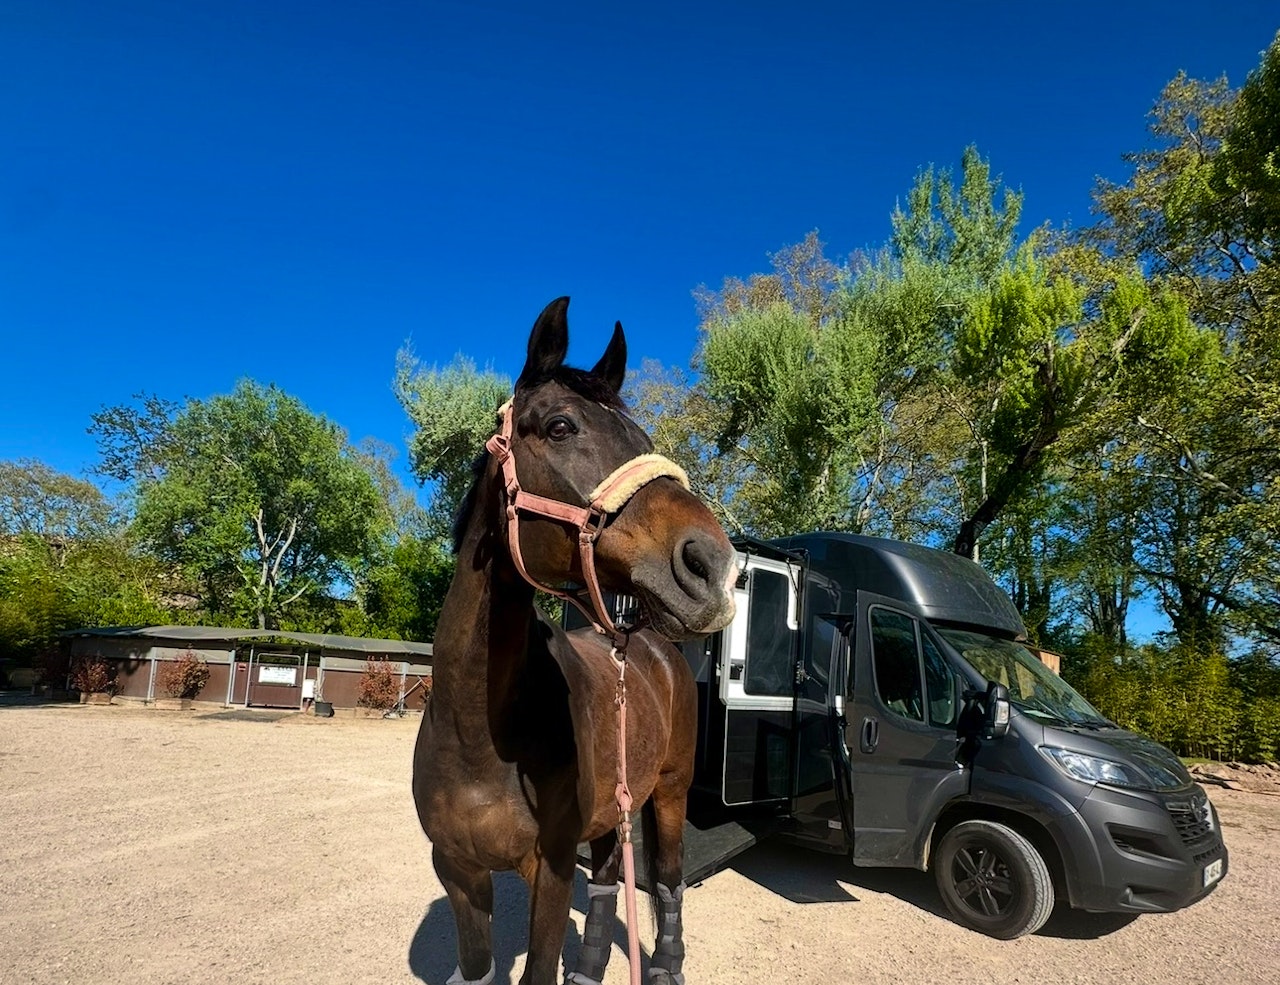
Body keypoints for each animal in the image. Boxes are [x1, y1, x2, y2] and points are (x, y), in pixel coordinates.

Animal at [412, 297, 739, 985]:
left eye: (644, 443)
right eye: (561, 427)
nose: (715, 567)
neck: (480, 737)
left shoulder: (551, 868)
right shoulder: (457, 871)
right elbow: (478, 966)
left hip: (668, 793)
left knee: (666, 879)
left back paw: (667, 964)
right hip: (616, 806)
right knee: (612, 874)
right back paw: (589, 966)